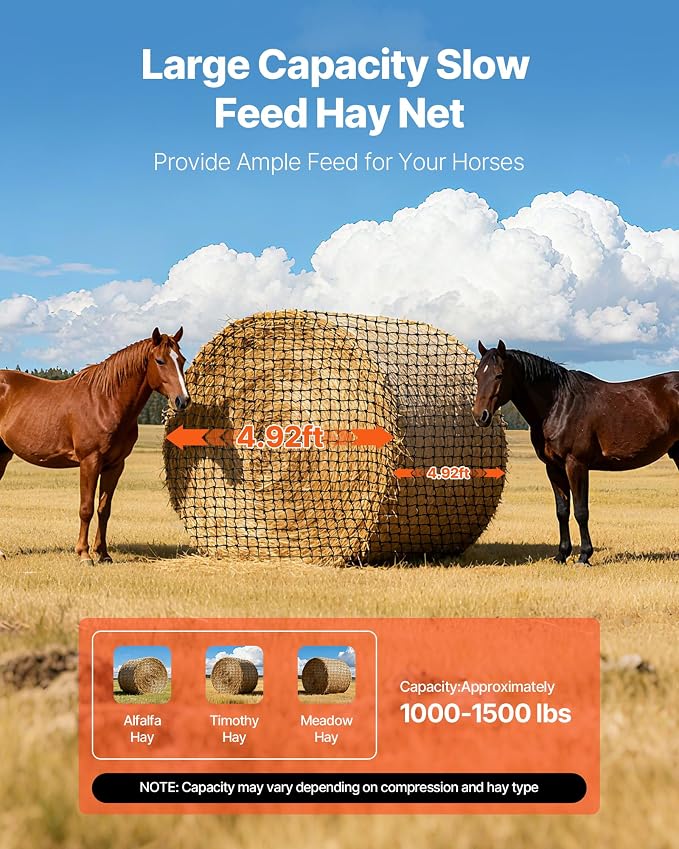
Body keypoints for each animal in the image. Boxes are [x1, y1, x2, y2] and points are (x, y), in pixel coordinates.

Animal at [0, 328, 190, 565]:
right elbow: (86, 508)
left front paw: (103, 553)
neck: (104, 402)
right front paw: (84, 554)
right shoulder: (89, 461)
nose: (183, 400)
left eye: (181, 360)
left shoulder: (115, 465)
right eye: (160, 360)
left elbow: (103, 509)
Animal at [472, 340, 679, 565]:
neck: (559, 406)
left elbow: (581, 511)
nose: (480, 416)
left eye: (499, 375)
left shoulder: (576, 464)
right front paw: (562, 554)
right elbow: (562, 511)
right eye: (477, 375)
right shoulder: (553, 468)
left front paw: (584, 555)